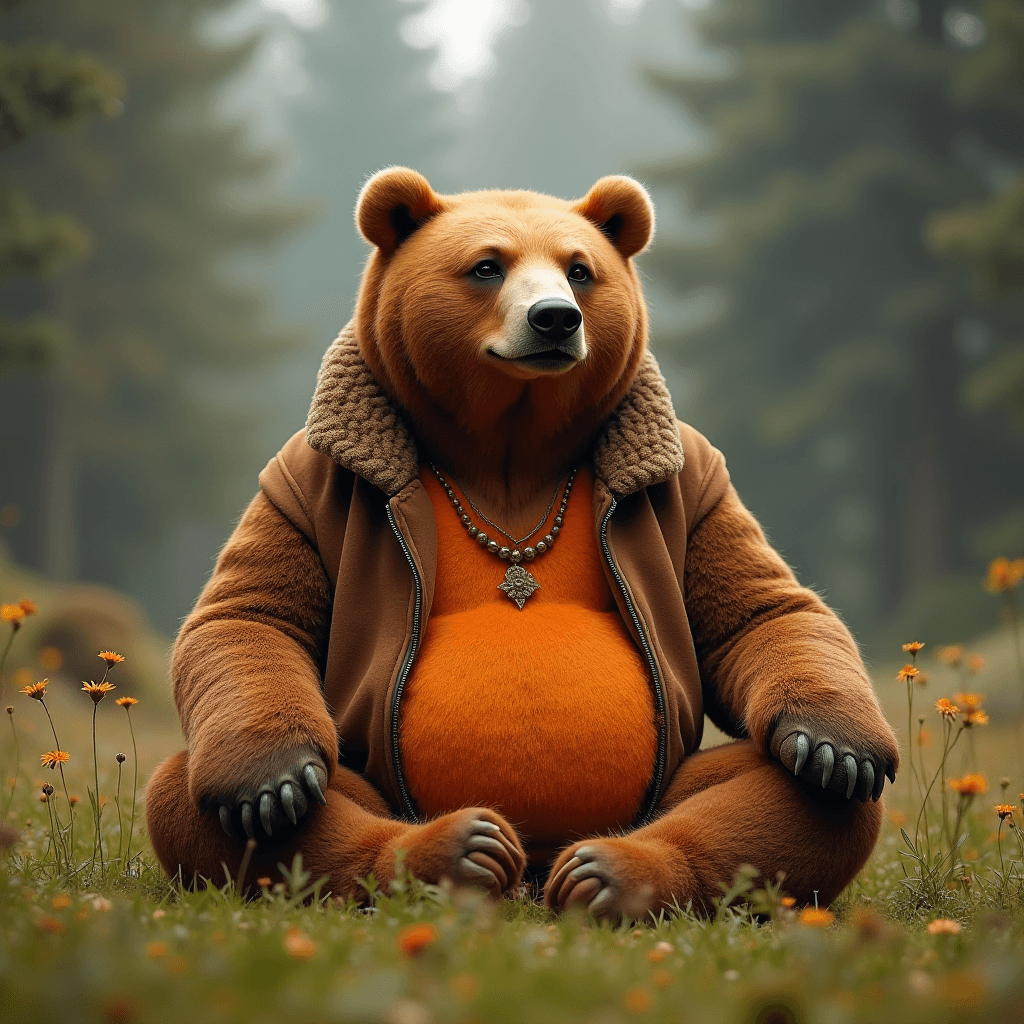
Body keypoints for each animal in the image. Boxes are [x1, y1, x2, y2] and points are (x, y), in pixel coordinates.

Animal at [144, 167, 897, 921]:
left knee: (791, 798)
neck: (509, 450)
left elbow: (759, 610)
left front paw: (836, 746)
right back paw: (455, 851)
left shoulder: (697, 478)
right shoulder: (302, 480)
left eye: (579, 269)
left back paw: (607, 871)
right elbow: (253, 614)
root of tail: (533, 873)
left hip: (658, 798)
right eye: (487, 265)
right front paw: (272, 781)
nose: (555, 318)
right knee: (192, 794)